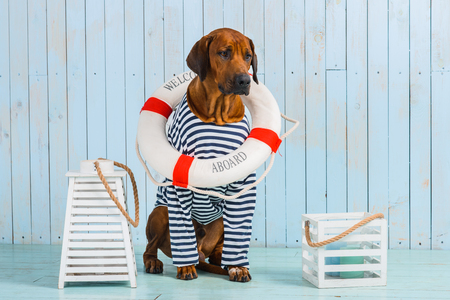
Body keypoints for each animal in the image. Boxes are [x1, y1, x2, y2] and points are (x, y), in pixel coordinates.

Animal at [142, 27, 258, 282]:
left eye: (248, 56)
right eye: (224, 53)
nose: (245, 80)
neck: (218, 116)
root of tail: (201, 250)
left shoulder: (244, 183)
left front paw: (239, 266)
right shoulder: (179, 183)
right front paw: (185, 268)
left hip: (220, 220)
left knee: (217, 251)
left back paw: (224, 262)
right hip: (160, 212)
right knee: (151, 247)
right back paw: (156, 262)